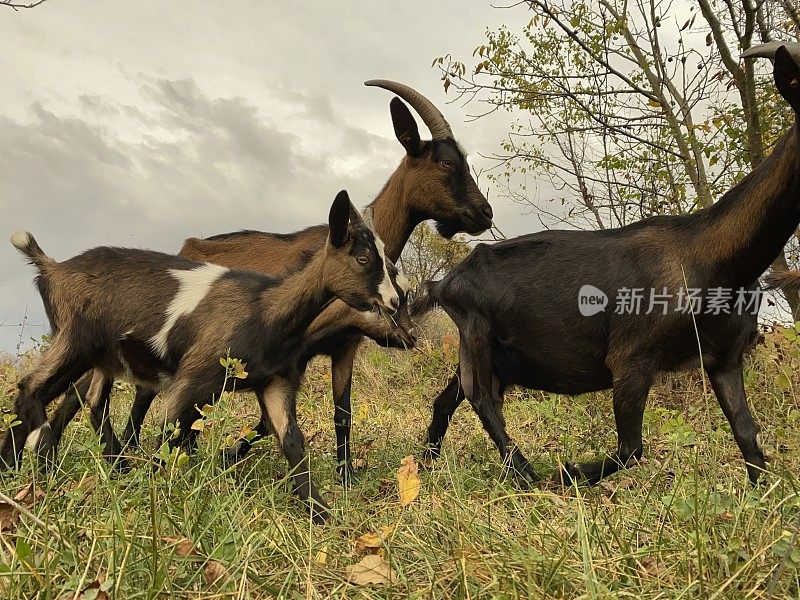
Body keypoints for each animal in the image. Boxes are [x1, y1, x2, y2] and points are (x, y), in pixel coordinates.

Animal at [45, 79, 494, 482]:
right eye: (447, 163)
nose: (485, 213)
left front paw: (345, 476)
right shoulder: (291, 349)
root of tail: (186, 246)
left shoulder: (342, 348)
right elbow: (265, 416)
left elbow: (342, 412)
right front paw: (230, 456)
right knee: (118, 390)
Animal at [416, 45, 800, 488]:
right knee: (482, 398)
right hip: (476, 332)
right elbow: (630, 448)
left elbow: (747, 435)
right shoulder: (631, 358)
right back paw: (528, 475)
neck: (708, 257)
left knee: (449, 397)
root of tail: (444, 283)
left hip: (495, 353)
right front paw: (568, 471)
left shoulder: (726, 358)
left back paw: (427, 462)